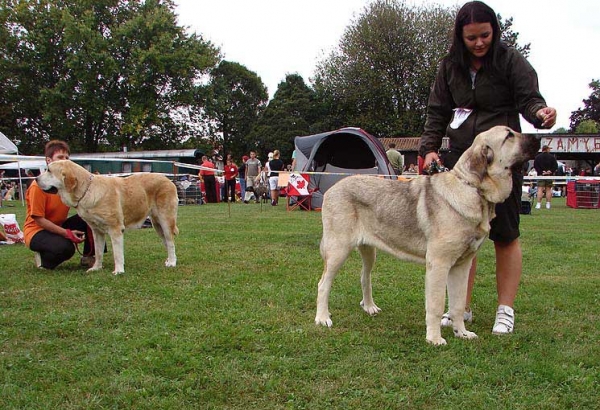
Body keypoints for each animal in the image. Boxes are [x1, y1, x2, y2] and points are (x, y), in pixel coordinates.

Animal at [36, 161, 178, 276]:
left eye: (49, 170)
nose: (36, 178)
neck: (87, 190)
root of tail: (168, 181)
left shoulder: (115, 229)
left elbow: (117, 253)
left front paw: (119, 271)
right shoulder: (96, 231)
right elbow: (98, 252)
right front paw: (96, 268)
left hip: (165, 221)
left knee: (170, 242)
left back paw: (172, 262)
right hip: (157, 224)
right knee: (167, 242)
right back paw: (170, 260)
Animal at [316, 126, 540, 344]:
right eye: (509, 136)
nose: (538, 138)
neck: (472, 189)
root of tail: (332, 188)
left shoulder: (461, 265)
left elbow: (458, 304)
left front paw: (462, 333)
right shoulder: (439, 264)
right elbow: (436, 304)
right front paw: (434, 338)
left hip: (369, 251)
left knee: (365, 276)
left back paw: (369, 307)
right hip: (338, 249)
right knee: (323, 284)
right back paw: (323, 318)